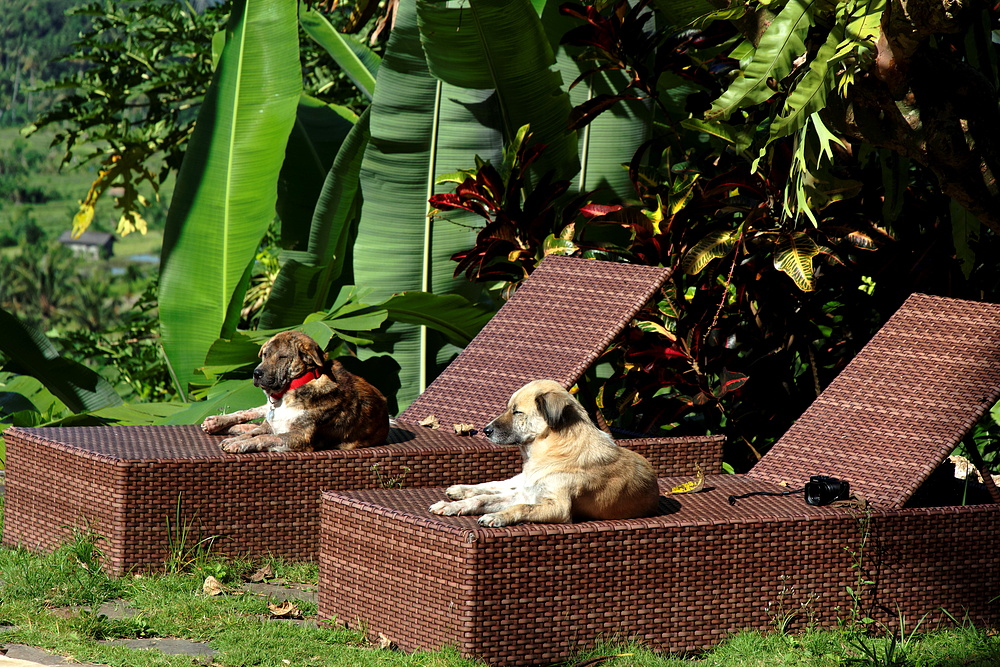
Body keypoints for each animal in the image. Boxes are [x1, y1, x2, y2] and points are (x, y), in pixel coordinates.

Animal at [201, 330, 388, 454]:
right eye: (265, 354)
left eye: (282, 357)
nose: (256, 373)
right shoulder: (274, 422)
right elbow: (255, 432)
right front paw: (235, 439)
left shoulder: (301, 437)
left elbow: (263, 437)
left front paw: (238, 443)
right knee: (250, 413)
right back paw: (217, 422)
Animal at [428, 380, 656, 528]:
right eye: (509, 408)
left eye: (517, 412)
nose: (485, 430)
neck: (553, 449)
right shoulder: (527, 493)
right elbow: (483, 499)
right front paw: (453, 506)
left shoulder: (557, 507)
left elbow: (520, 507)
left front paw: (499, 516)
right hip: (519, 481)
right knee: (493, 485)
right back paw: (460, 490)